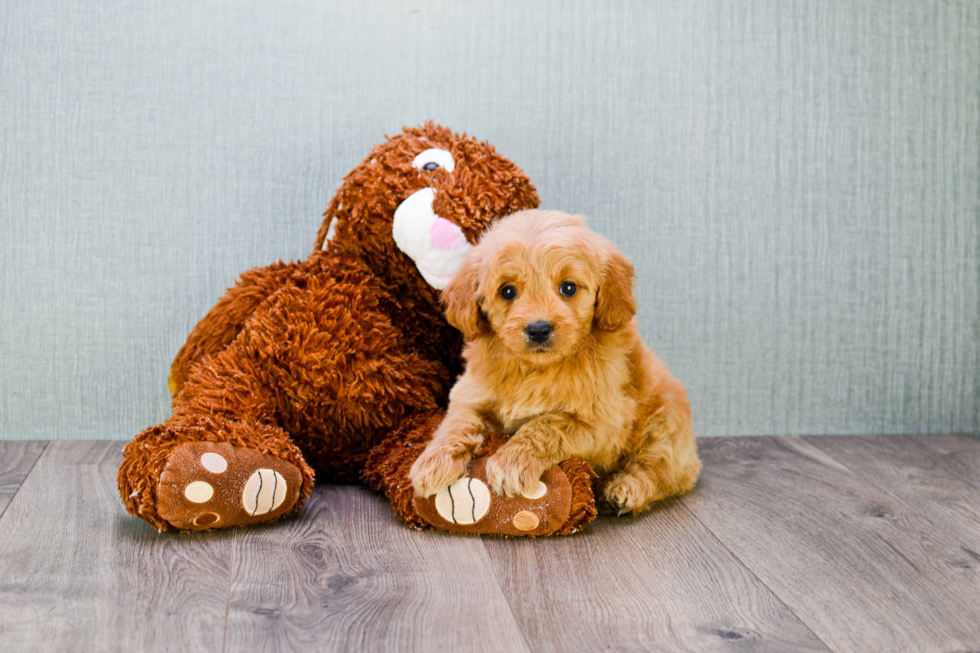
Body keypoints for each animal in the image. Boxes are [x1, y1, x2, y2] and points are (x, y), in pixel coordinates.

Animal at [410, 209, 700, 516]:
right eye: (508, 291)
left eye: (568, 288)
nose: (538, 329)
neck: (534, 369)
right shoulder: (469, 394)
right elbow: (456, 423)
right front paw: (432, 462)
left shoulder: (605, 423)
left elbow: (547, 424)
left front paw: (510, 462)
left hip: (665, 424)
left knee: (662, 470)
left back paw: (625, 489)